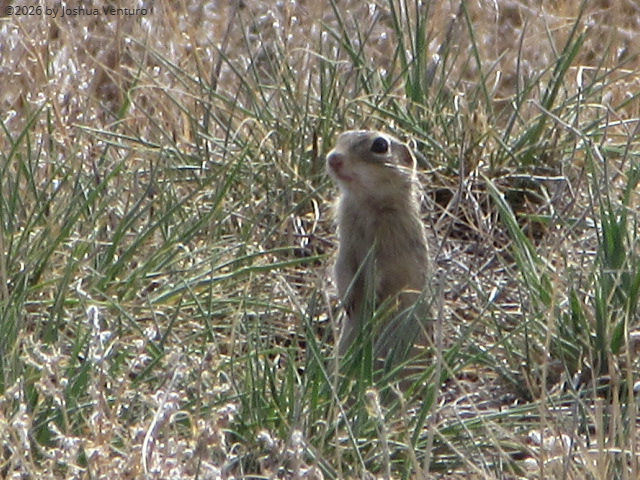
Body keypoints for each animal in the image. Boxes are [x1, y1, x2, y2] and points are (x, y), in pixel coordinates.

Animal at [326, 130, 430, 364]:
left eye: (381, 145)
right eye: (341, 137)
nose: (333, 158)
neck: (365, 202)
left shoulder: (389, 248)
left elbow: (380, 272)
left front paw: (372, 301)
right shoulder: (346, 243)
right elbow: (342, 266)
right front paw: (347, 302)